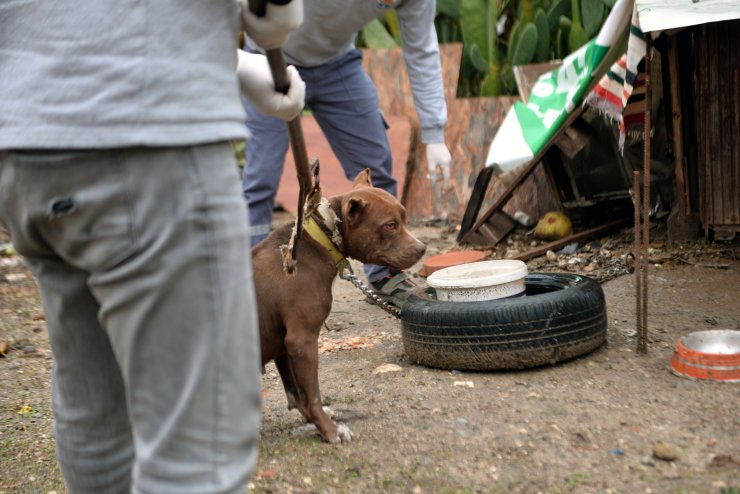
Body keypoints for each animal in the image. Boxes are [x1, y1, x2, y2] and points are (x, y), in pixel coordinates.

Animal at [251, 168, 424, 442]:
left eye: (405, 218)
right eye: (390, 225)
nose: (422, 248)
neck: (322, 238)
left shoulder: (284, 346)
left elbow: (297, 394)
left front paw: (317, 420)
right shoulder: (301, 341)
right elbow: (312, 395)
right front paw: (330, 431)